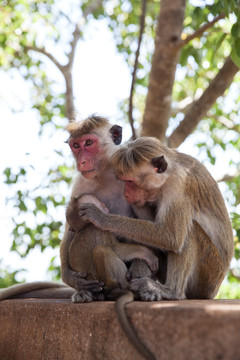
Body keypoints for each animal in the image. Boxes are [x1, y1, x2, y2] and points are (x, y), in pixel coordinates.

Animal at [77, 136, 234, 300]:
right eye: (123, 180)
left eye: (129, 181)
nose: (126, 194)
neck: (170, 173)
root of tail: (214, 290)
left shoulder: (178, 186)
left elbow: (171, 236)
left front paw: (101, 217)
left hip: (208, 275)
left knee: (188, 232)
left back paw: (172, 291)